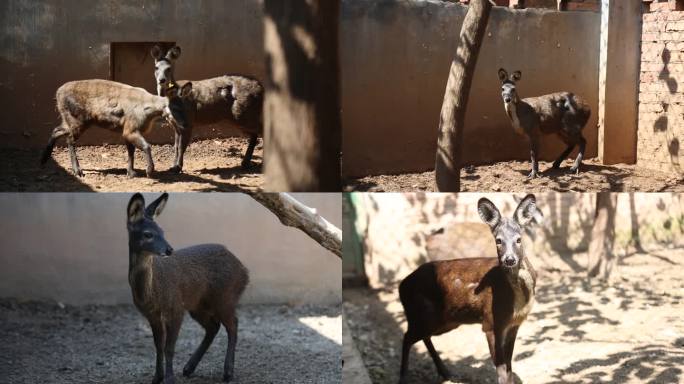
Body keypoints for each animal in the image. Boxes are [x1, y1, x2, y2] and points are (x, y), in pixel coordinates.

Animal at [127, 194, 250, 382]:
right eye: (148, 234)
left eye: (163, 231)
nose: (169, 249)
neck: (153, 292)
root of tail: (245, 271)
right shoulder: (151, 315)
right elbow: (158, 346)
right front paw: (157, 378)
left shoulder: (176, 308)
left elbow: (169, 347)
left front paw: (169, 378)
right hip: (198, 305)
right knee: (213, 327)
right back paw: (189, 368)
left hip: (225, 296)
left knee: (233, 324)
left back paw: (228, 372)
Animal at [151, 44, 264, 172]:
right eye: (156, 67)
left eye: (169, 68)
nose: (162, 80)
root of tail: (261, 88)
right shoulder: (175, 124)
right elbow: (175, 147)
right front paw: (173, 166)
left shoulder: (188, 120)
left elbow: (181, 147)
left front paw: (178, 168)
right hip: (243, 116)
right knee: (254, 135)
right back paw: (245, 163)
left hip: (244, 113)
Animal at [398, 195, 544, 384]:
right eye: (498, 240)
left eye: (518, 239)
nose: (509, 259)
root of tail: (401, 285)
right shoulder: (491, 322)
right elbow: (501, 369)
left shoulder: (514, 324)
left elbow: (509, 366)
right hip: (424, 314)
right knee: (407, 337)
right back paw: (404, 377)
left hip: (445, 321)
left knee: (423, 337)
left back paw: (446, 372)